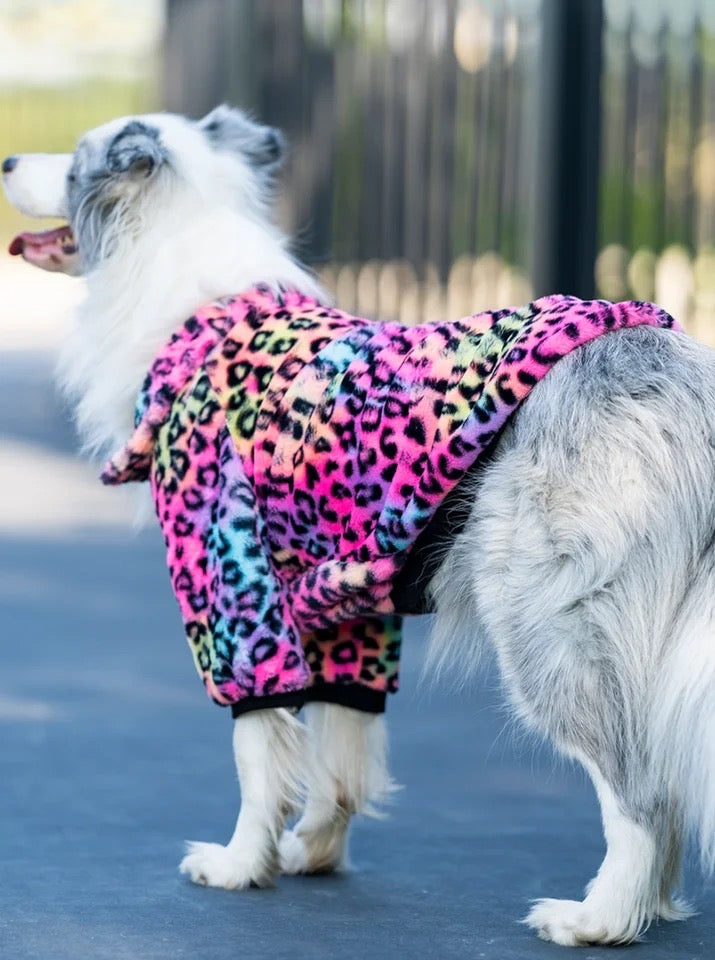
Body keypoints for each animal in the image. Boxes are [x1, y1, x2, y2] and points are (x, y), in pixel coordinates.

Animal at [4, 105, 715, 944]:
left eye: (74, 161)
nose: (8, 160)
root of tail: (683, 382)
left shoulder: (233, 591)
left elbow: (258, 749)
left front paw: (240, 865)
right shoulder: (348, 604)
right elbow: (340, 749)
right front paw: (310, 851)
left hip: (552, 626)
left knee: (641, 788)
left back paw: (597, 918)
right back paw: (651, 906)